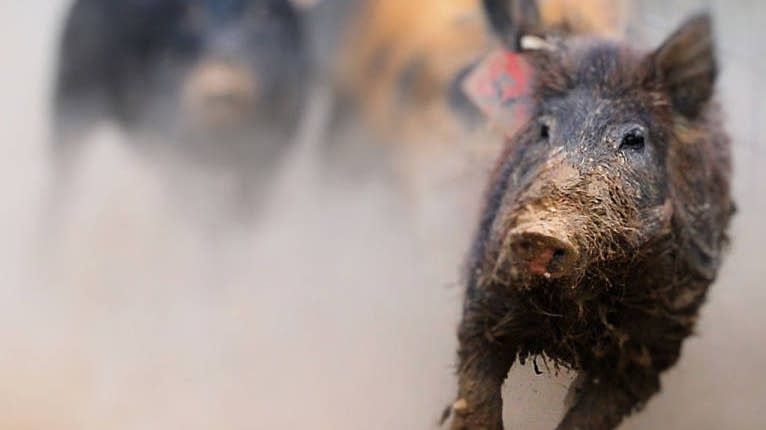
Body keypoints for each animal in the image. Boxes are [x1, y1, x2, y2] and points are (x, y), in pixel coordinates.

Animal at [445, 2, 733, 429]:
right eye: (543, 129)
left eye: (634, 138)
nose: (540, 232)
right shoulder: (487, 282)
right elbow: (477, 389)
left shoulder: (650, 348)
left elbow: (590, 414)